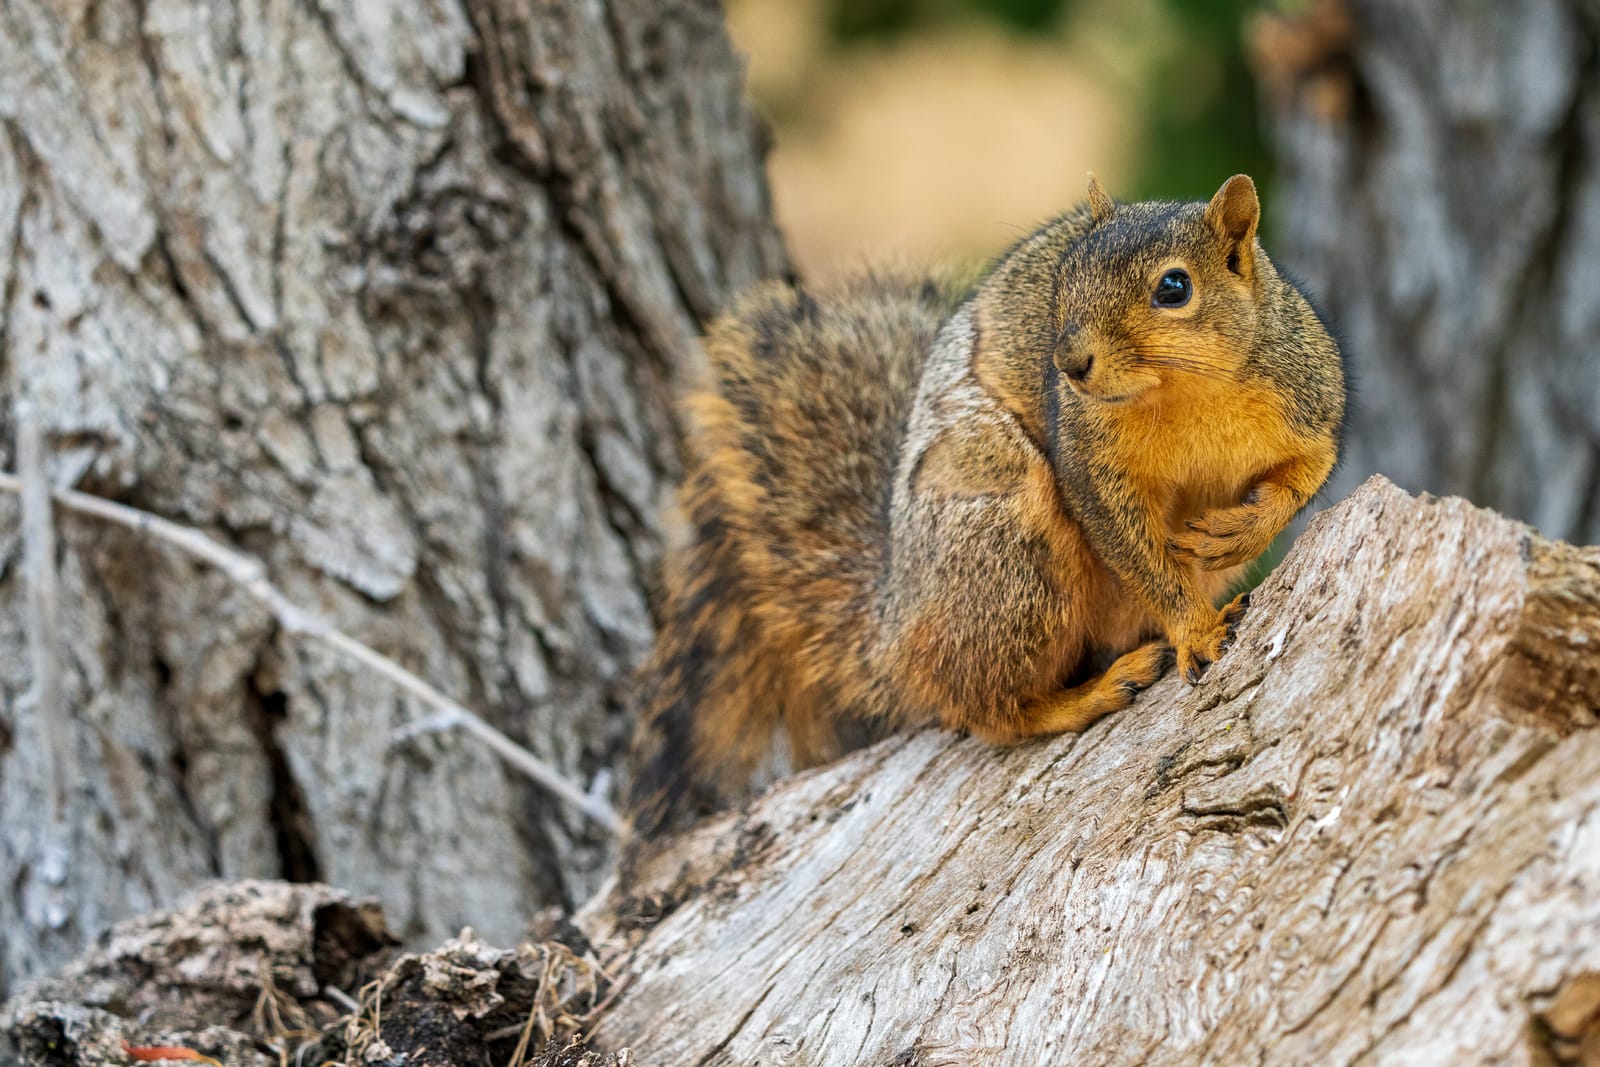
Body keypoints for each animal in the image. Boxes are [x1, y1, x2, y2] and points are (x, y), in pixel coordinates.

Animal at [627, 174, 1346, 837]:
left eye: (1175, 288)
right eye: (1064, 280)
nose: (1069, 363)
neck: (1186, 394)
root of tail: (892, 626)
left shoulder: (1309, 406)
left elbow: (1302, 480)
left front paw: (1243, 530)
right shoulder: (1091, 468)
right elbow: (1137, 552)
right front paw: (1194, 631)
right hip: (1009, 551)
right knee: (987, 710)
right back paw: (1089, 693)